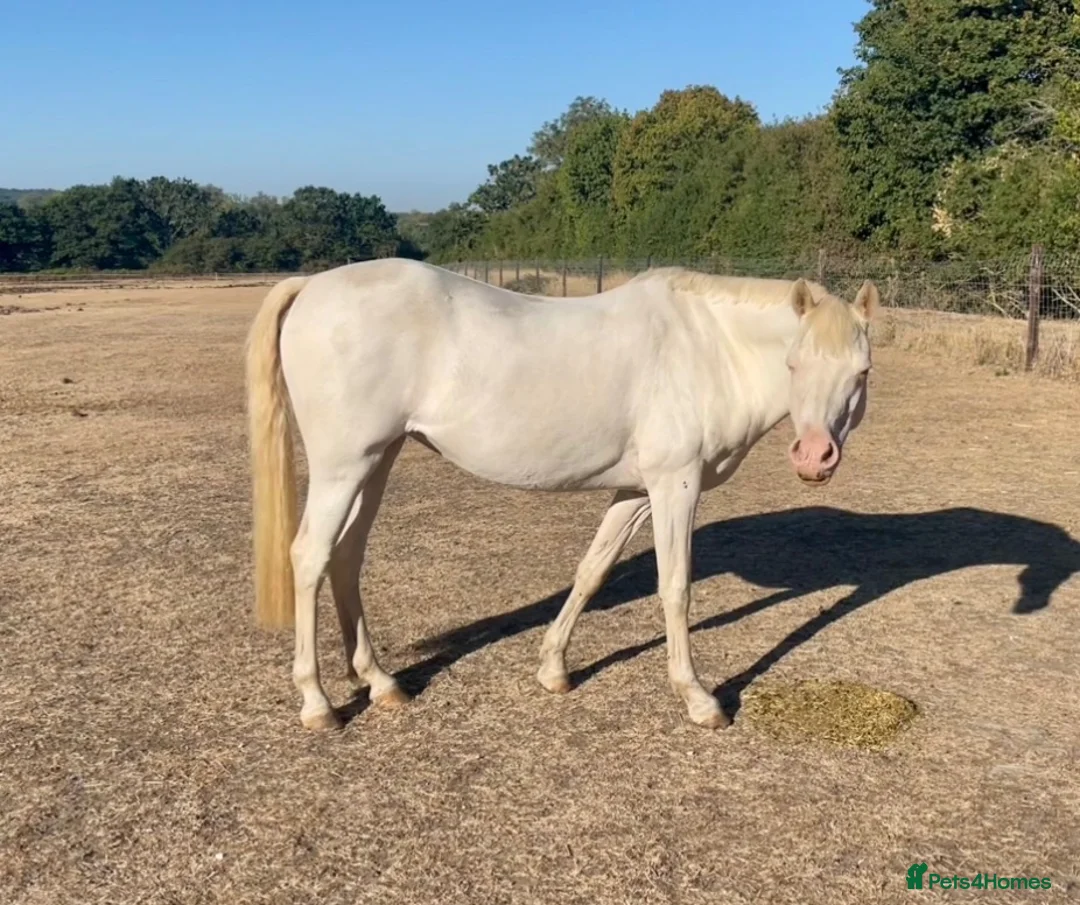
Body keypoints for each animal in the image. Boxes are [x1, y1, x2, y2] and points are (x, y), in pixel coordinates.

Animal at [245, 258, 878, 731]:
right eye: (794, 363)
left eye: (863, 372)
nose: (814, 457)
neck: (707, 349)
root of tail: (312, 286)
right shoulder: (676, 484)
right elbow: (675, 588)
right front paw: (699, 699)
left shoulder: (635, 490)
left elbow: (592, 570)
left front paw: (553, 669)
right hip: (342, 466)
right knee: (310, 557)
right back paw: (318, 704)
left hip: (376, 461)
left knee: (346, 557)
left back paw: (380, 682)